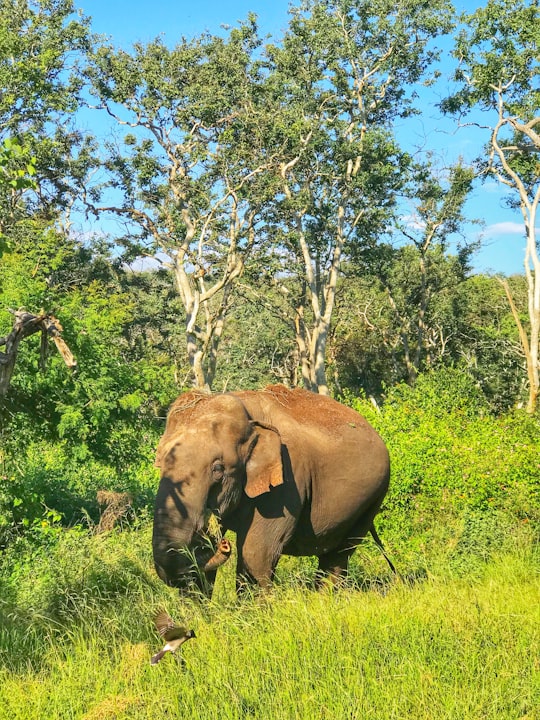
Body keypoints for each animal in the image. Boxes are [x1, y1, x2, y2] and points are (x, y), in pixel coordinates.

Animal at [150, 386, 394, 592]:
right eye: (159, 463)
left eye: (217, 469)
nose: (223, 543)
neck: (247, 410)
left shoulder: (288, 479)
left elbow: (256, 552)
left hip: (373, 497)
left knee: (340, 554)